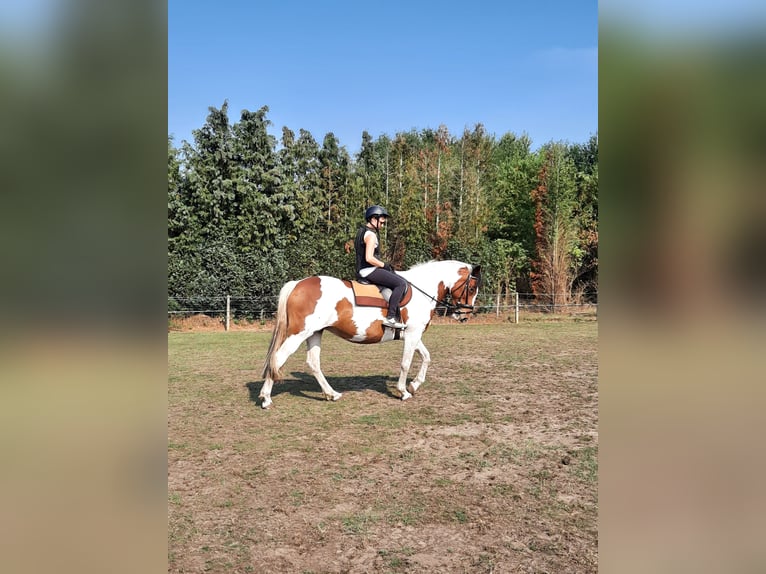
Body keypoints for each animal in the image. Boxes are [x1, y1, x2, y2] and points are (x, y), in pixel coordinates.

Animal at [260, 260, 484, 410]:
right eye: (472, 287)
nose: (464, 315)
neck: (421, 290)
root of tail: (298, 284)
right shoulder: (412, 334)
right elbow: (406, 363)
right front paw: (403, 391)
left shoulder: (412, 335)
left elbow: (427, 357)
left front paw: (414, 385)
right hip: (299, 333)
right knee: (278, 358)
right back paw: (265, 398)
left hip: (314, 333)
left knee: (313, 363)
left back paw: (331, 394)